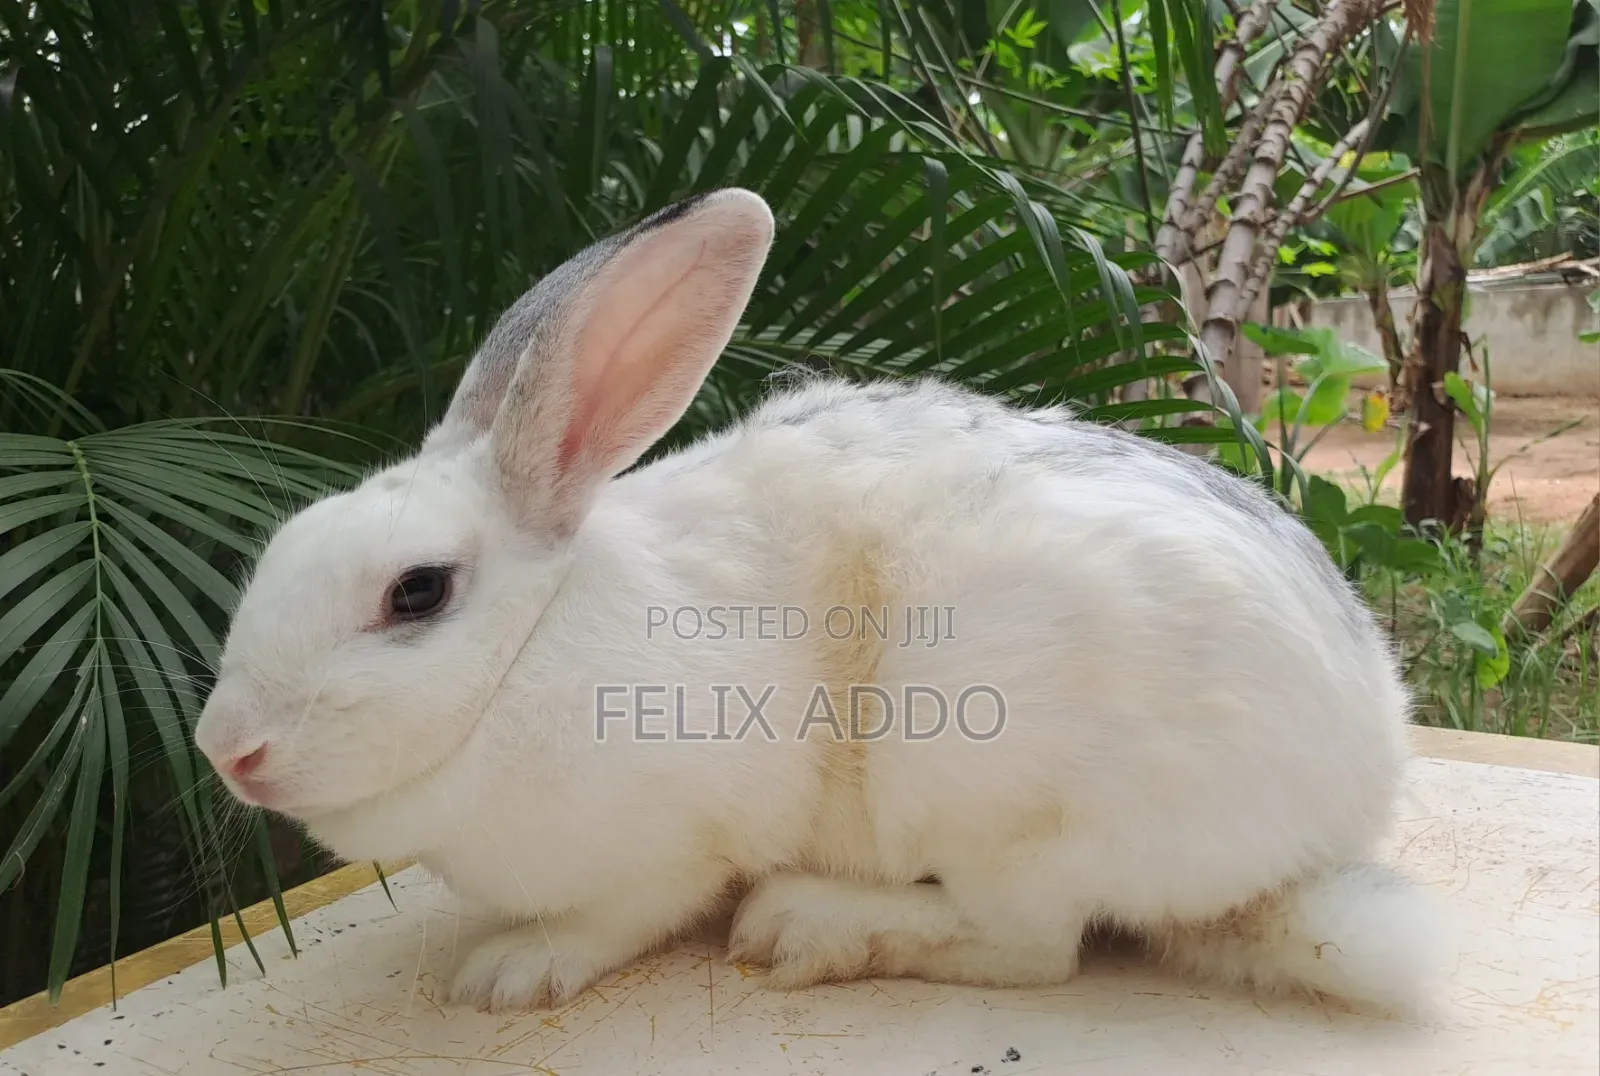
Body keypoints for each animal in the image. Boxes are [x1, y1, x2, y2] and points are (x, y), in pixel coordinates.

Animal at [194, 187, 1447, 1017]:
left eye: (416, 591)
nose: (226, 748)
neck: (531, 651)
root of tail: (1342, 802)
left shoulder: (674, 831)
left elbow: (625, 909)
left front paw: (512, 968)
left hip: (990, 792)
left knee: (1029, 947)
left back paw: (811, 923)